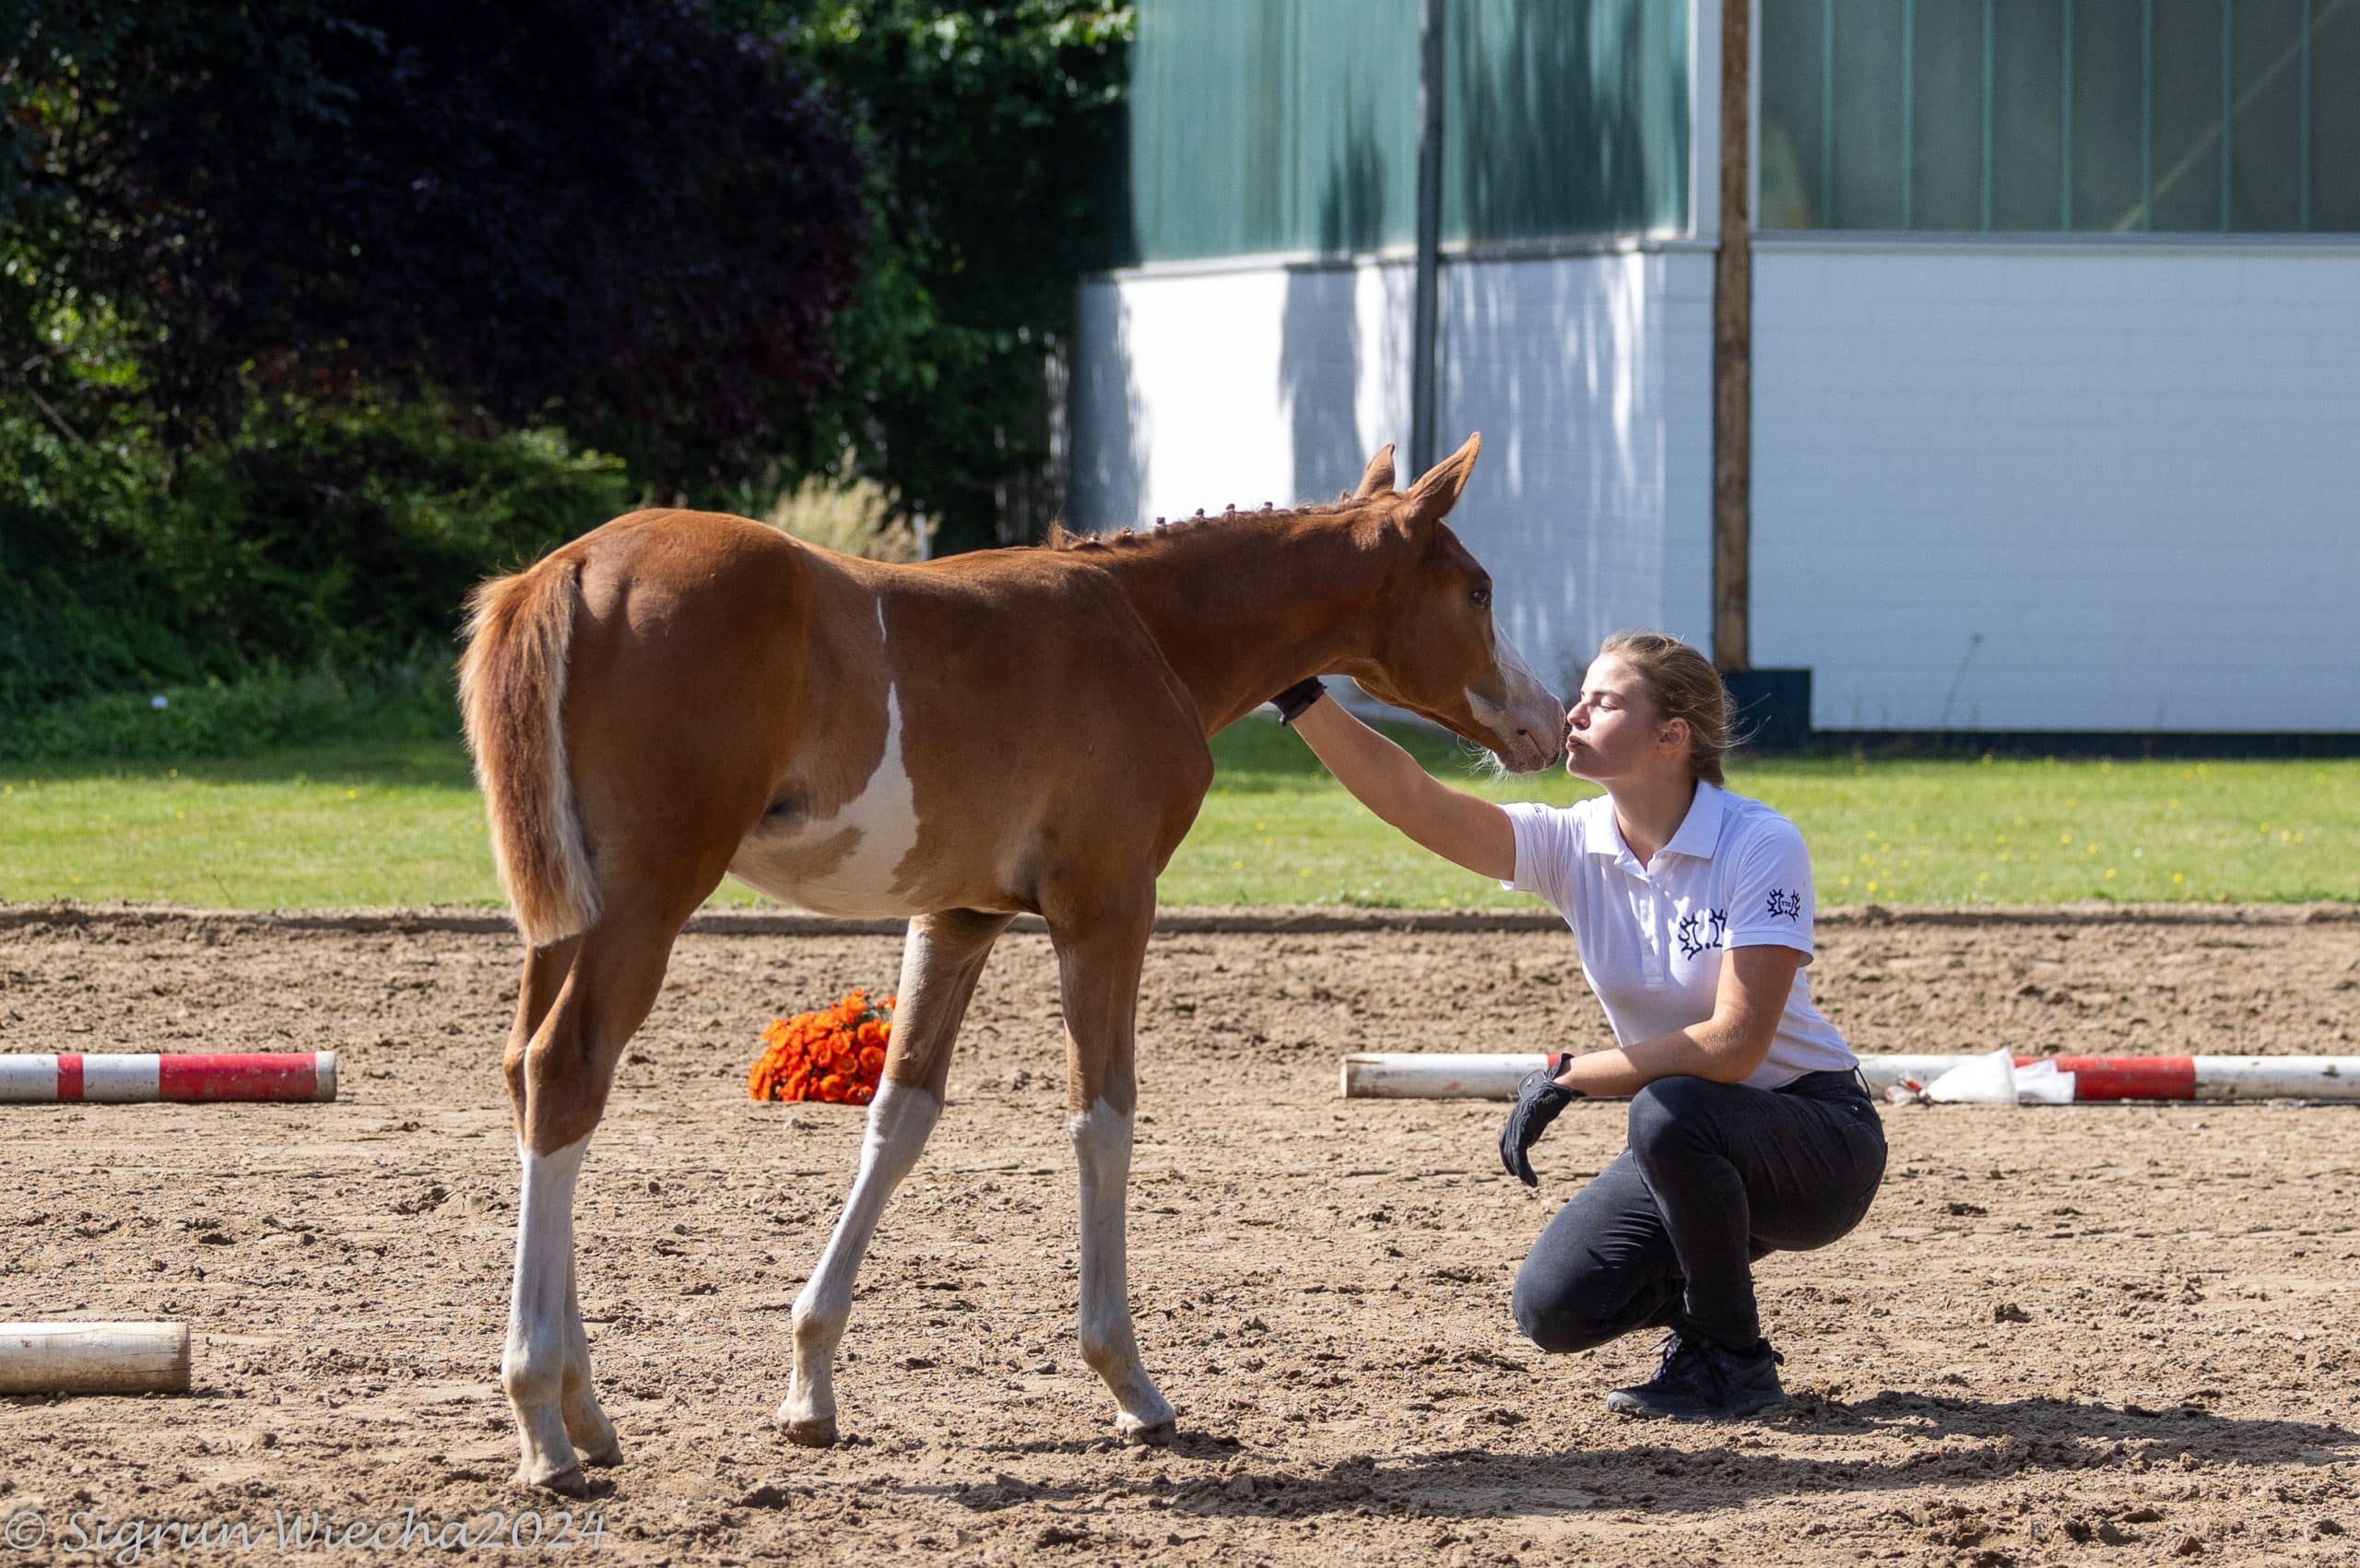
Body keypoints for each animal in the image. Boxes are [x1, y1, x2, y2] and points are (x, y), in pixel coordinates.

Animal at [460, 434, 1566, 1492]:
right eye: (1477, 589)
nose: (1546, 722)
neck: (1145, 627)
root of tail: (568, 567)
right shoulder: (1107, 908)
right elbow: (1102, 1117)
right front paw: (1129, 1381)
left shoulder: (957, 918)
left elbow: (899, 1116)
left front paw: (811, 1380)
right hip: (646, 904)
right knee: (566, 1073)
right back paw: (542, 1423)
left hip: (569, 917)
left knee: (525, 1076)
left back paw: (585, 1410)